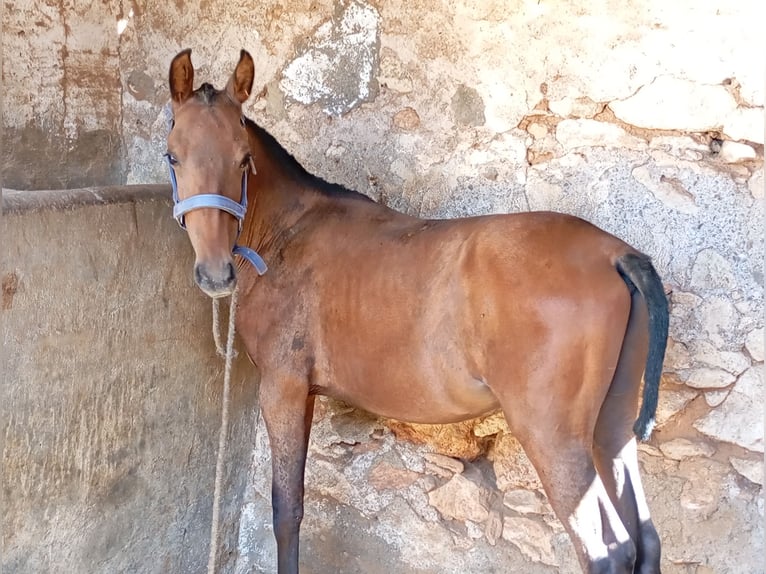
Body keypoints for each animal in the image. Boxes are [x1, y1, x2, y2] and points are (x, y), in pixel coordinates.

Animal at [165, 50, 668, 574]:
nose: (215, 273)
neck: (288, 232)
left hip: (554, 438)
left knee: (609, 551)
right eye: (173, 155)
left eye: (243, 159)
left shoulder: (282, 388)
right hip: (611, 431)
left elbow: (287, 510)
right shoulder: (302, 395)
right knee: (646, 539)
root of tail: (616, 255)